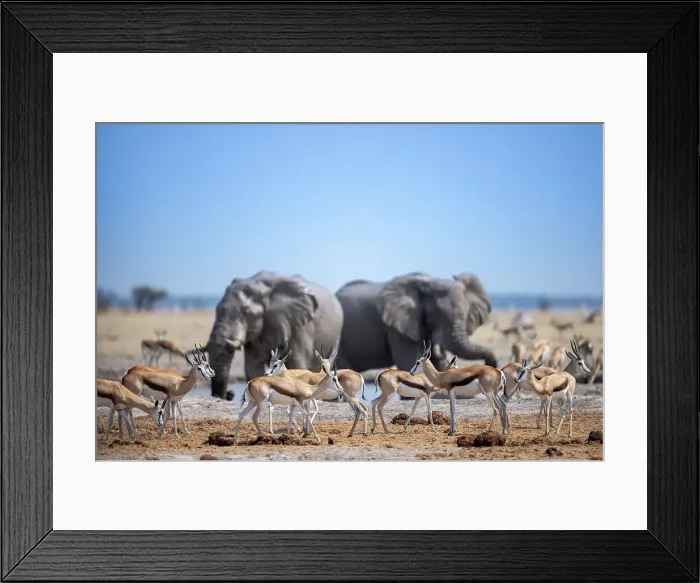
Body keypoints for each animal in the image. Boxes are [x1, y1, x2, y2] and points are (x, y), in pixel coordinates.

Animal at [207, 271, 343, 398]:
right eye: (217, 309)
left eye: (245, 312)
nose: (229, 394)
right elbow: (253, 367)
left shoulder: (299, 327)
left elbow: (297, 363)